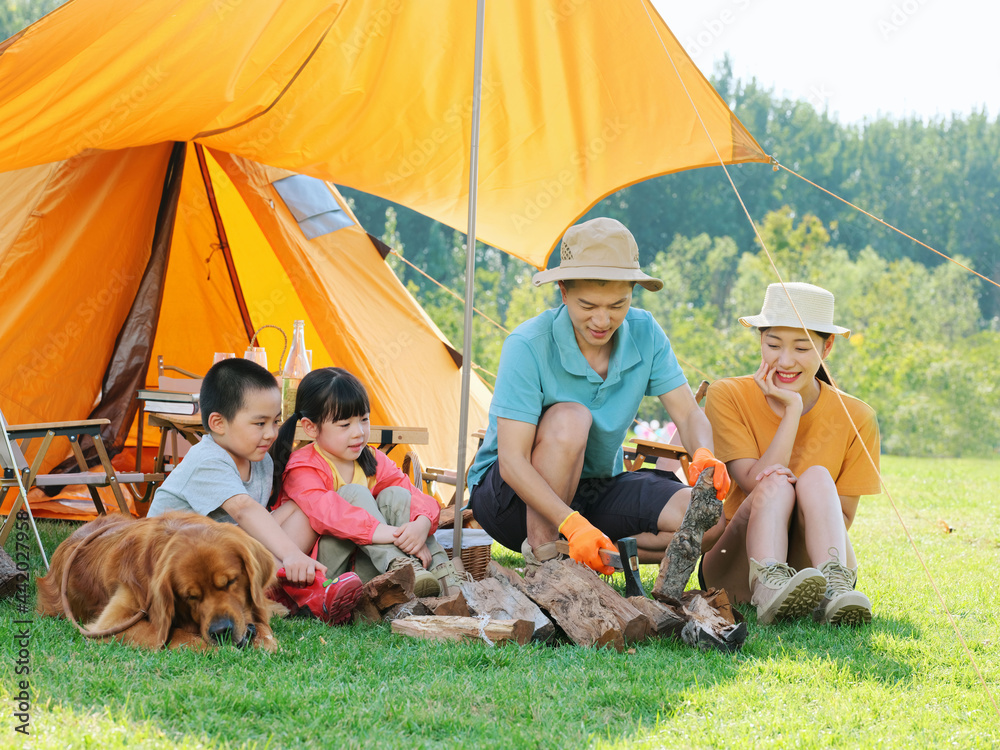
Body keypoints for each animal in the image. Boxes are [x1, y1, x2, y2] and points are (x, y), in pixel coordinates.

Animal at [37, 512, 280, 652]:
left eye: (231, 582)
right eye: (190, 596)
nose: (221, 631)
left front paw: (262, 636)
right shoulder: (110, 624)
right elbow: (176, 635)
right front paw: (219, 648)